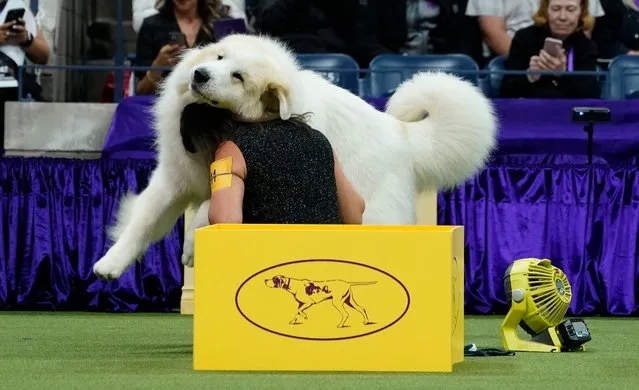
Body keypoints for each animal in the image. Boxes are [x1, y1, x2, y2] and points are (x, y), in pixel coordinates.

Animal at [91, 32, 500, 278]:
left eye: (238, 76)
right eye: (219, 57)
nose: (200, 74)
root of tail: (400, 132)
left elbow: (208, 212)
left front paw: (192, 246)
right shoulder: (172, 180)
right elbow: (141, 223)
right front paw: (110, 264)